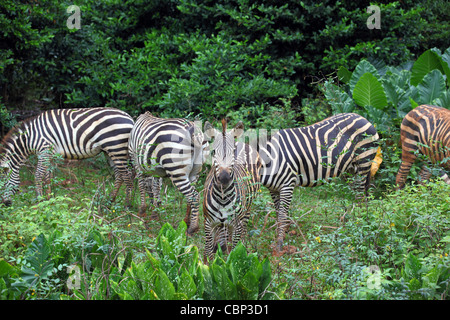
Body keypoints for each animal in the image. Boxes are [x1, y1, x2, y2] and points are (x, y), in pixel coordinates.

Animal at [0, 107, 134, 205]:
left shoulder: (44, 151)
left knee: (127, 175)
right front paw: (49, 199)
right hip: (110, 151)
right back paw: (110, 201)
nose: (5, 204)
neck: (30, 138)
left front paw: (39, 200)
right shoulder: (50, 155)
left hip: (116, 148)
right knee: (119, 175)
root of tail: (129, 118)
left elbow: (38, 176)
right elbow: (48, 177)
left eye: (3, 184)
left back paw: (127, 205)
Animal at [203, 119, 262, 262]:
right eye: (213, 151)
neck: (223, 197)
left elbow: (234, 253)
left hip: (247, 211)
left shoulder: (237, 224)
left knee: (242, 235)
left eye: (233, 151)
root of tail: (242, 142)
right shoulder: (208, 224)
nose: (224, 178)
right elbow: (209, 254)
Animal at [256, 112, 380, 252]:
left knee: (360, 196)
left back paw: (358, 224)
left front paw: (279, 244)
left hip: (364, 161)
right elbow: (278, 213)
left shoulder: (287, 184)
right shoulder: (273, 189)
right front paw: (282, 233)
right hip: (350, 169)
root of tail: (362, 117)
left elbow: (282, 215)